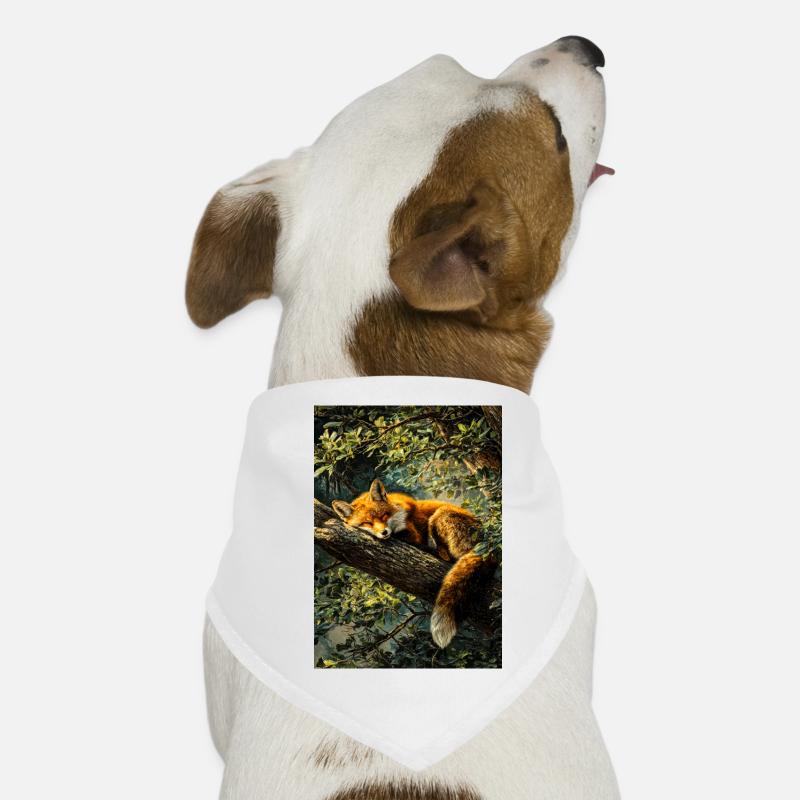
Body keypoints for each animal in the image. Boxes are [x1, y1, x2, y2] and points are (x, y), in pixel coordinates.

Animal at [331, 478, 498, 648]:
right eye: (367, 523)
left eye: (384, 516)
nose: (384, 532)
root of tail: (489, 544)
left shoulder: (413, 534)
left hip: (440, 515)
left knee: (447, 557)